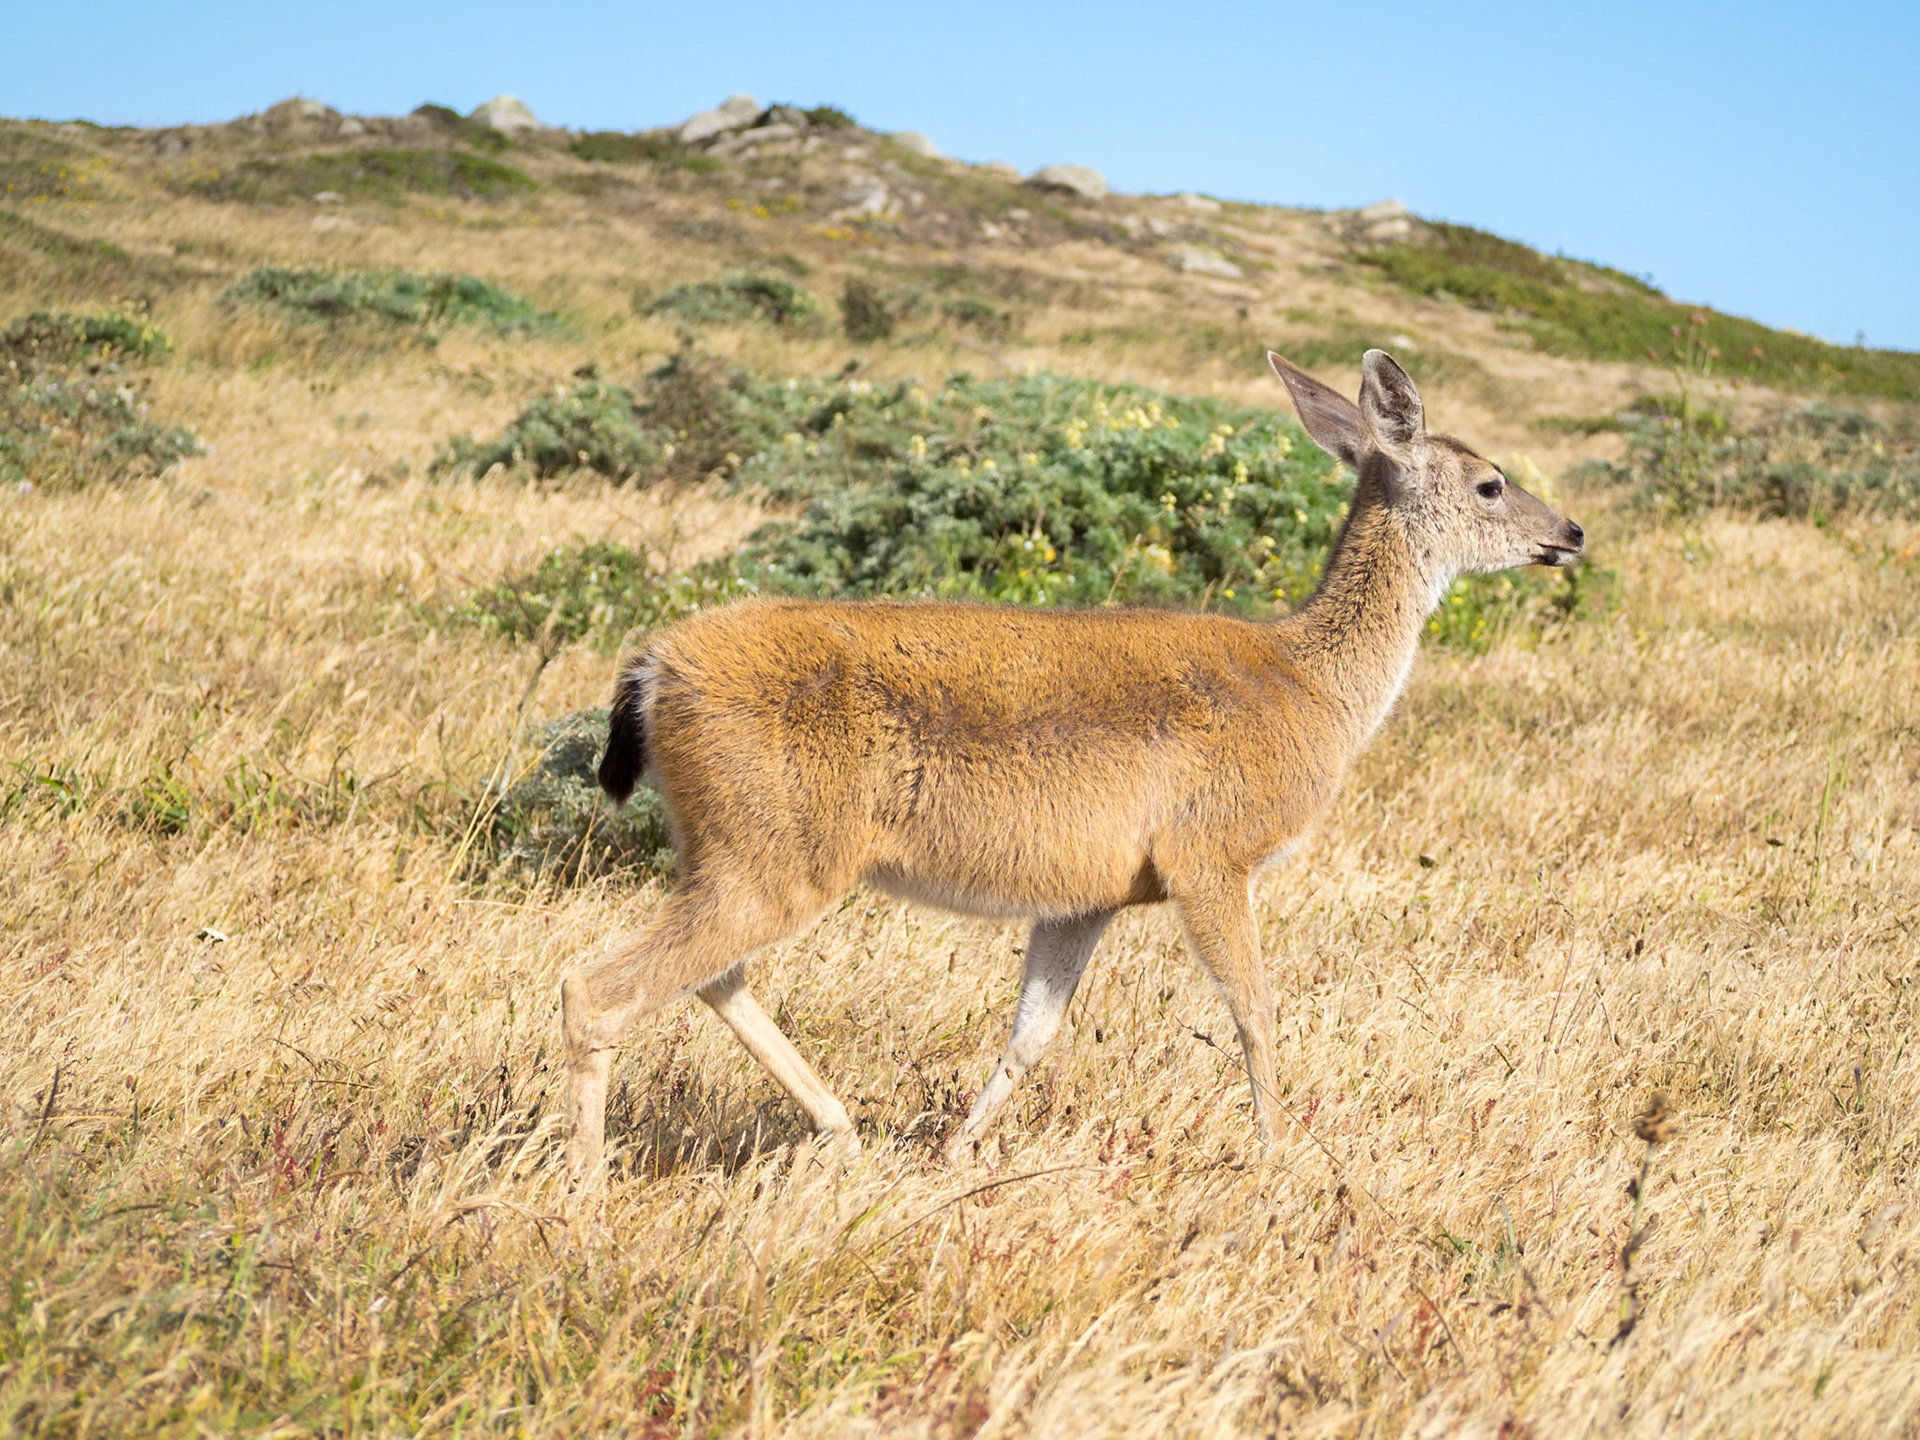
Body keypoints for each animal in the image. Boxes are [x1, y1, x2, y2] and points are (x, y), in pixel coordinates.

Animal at [561, 350, 1584, 1178]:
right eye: (1491, 484)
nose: (1570, 532)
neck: (1312, 688)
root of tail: (653, 669)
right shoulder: (1210, 855)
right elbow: (1254, 1009)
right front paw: (1278, 1154)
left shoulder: (1088, 893)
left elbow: (1031, 1036)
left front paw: (957, 1154)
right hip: (773, 847)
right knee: (597, 990)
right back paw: (585, 1191)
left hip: (737, 850)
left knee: (711, 976)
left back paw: (841, 1131)